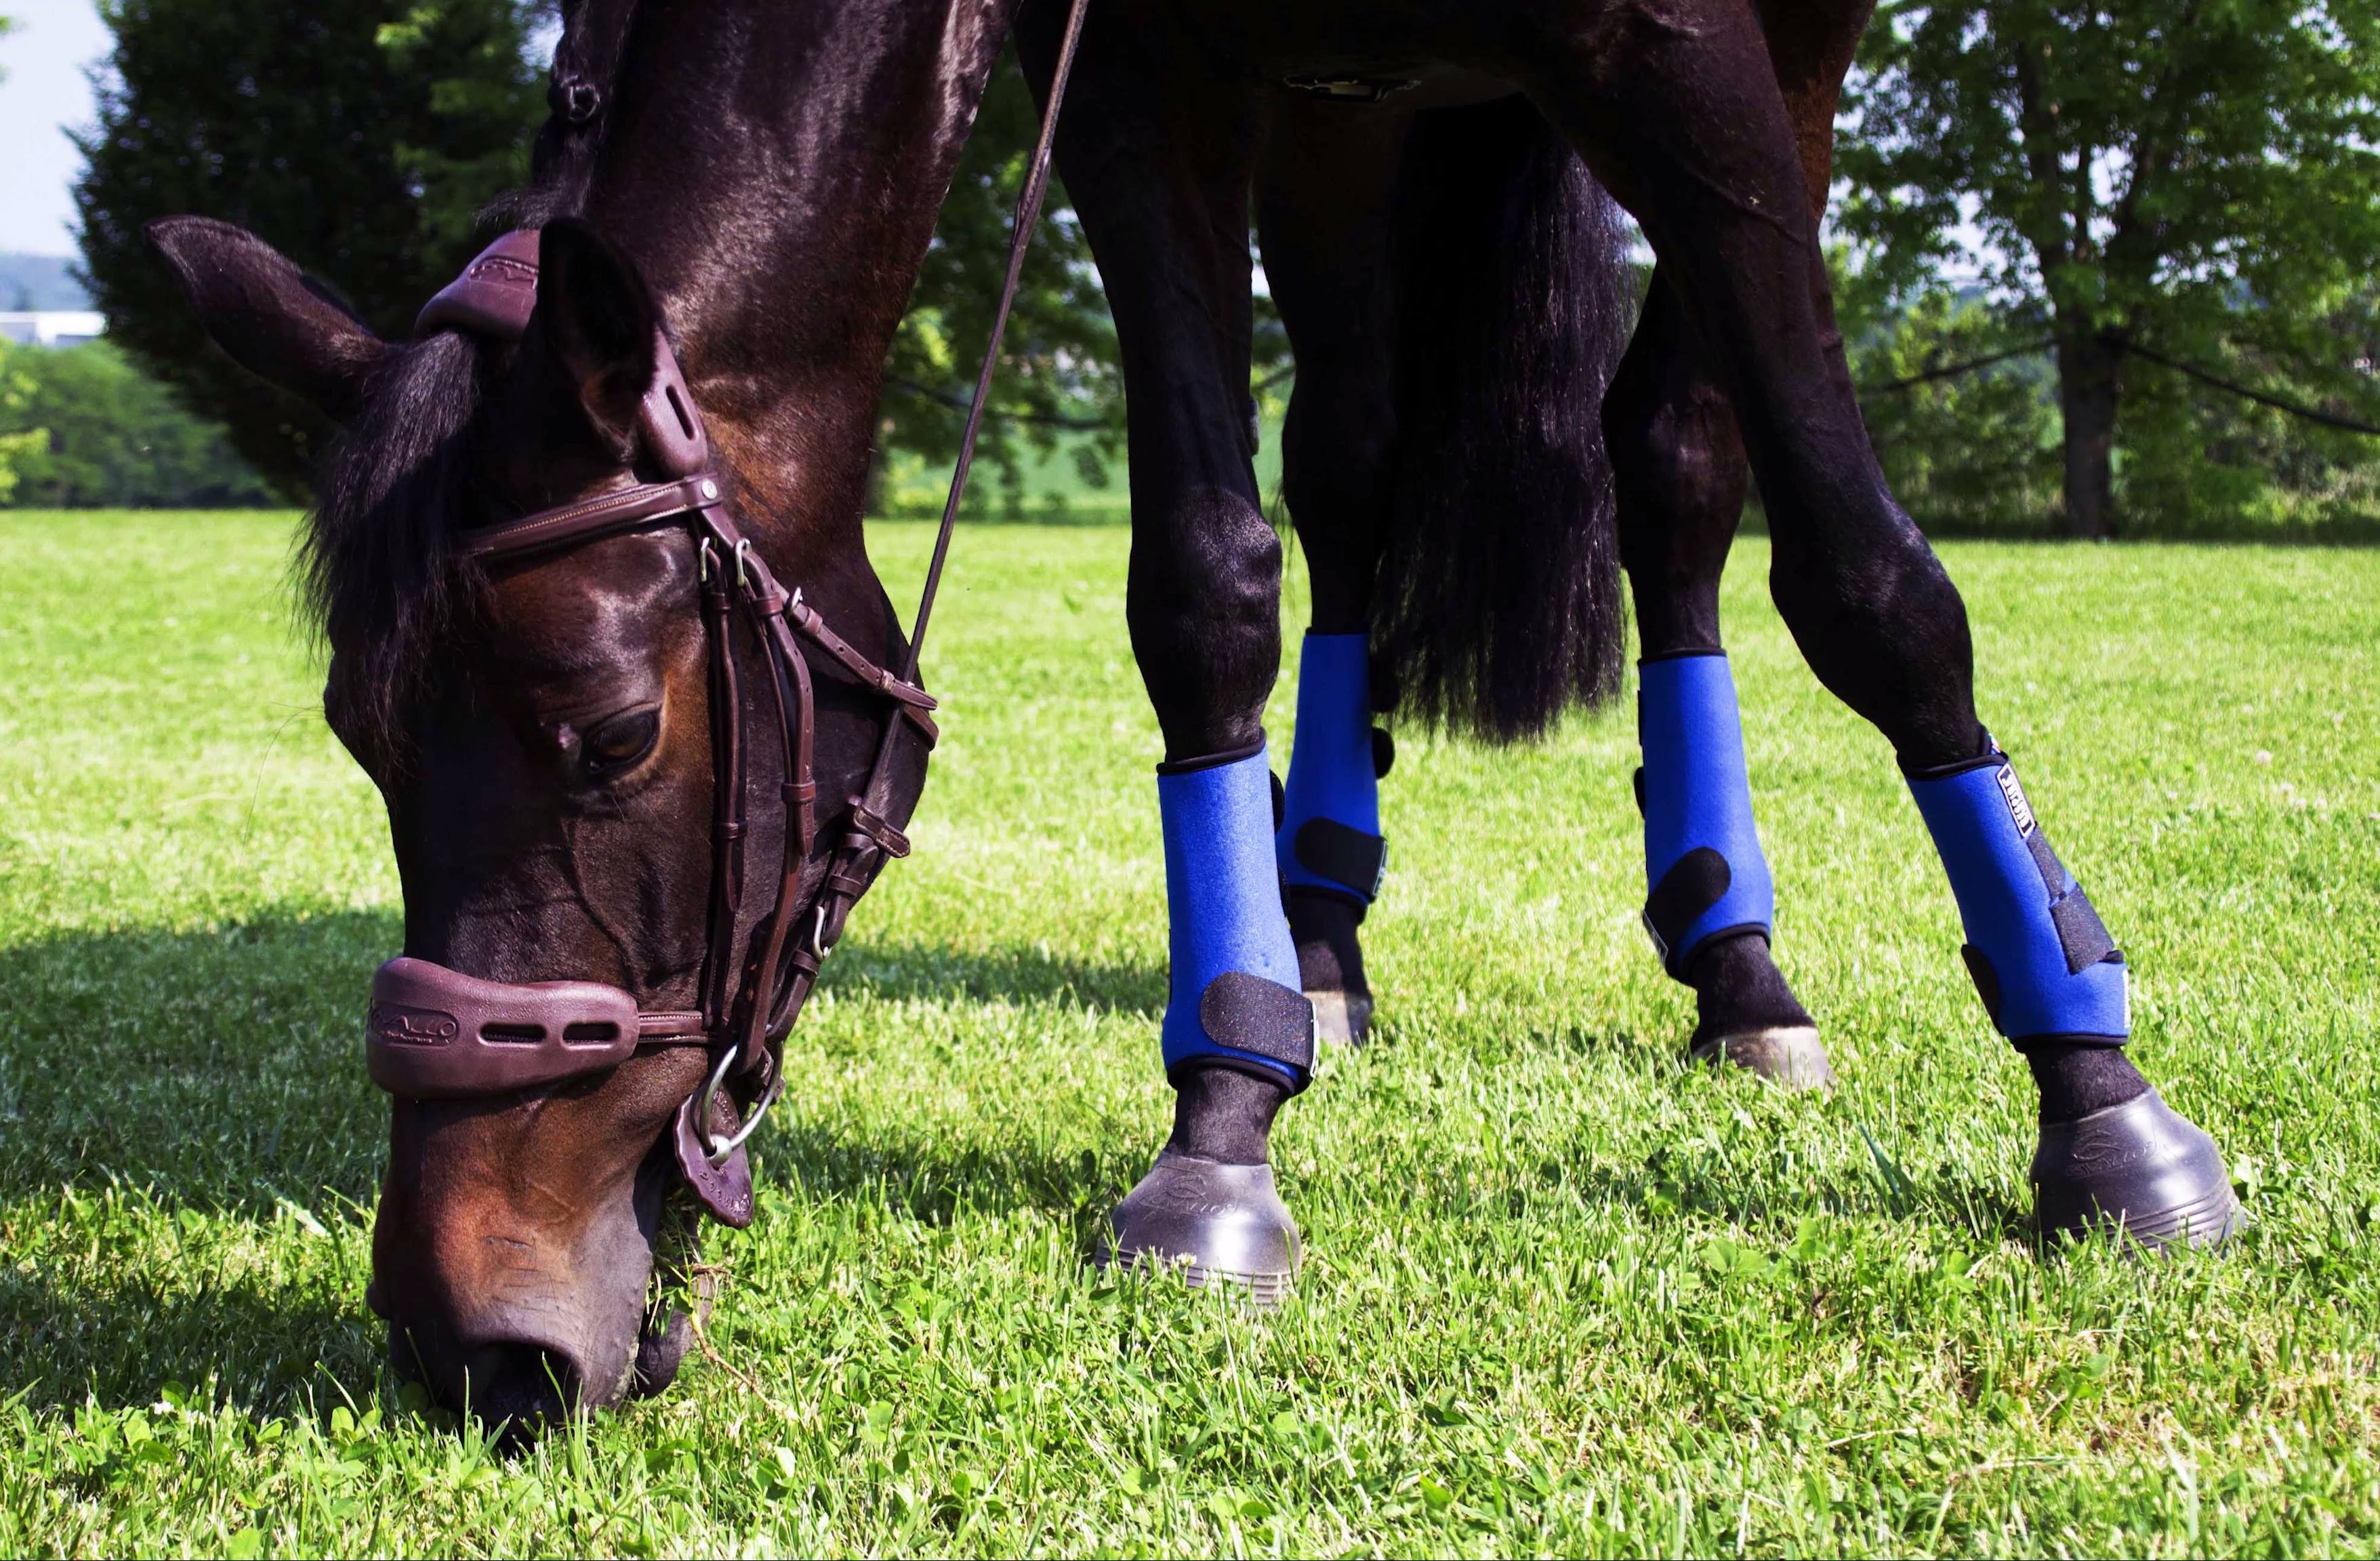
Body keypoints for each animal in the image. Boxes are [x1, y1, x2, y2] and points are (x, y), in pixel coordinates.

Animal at [146, 0, 2240, 1425]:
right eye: (361, 744)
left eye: (607, 735)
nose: (468, 1338)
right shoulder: (1150, 90)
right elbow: (1207, 589)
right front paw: (1227, 1102)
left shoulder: (1686, 47)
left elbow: (1872, 584)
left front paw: (2104, 1101)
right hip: (1344, 119)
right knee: (1356, 468)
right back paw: (1316, 927)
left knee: (1672, 462)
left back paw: (1738, 962)